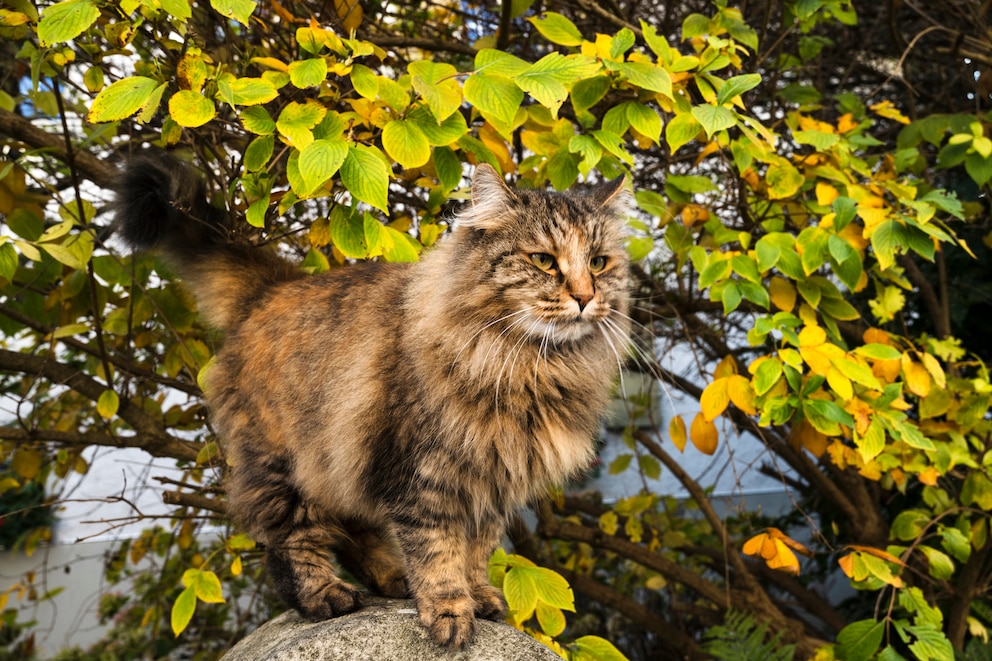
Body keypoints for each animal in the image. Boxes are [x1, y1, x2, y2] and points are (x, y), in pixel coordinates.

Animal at [114, 155, 628, 648]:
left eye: (599, 263)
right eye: (543, 260)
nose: (585, 297)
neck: (529, 366)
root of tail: (276, 285)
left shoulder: (493, 481)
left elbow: (477, 551)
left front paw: (479, 597)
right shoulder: (422, 478)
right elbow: (438, 553)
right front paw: (449, 612)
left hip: (337, 459)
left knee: (352, 530)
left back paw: (392, 579)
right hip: (284, 465)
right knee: (290, 539)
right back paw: (326, 596)